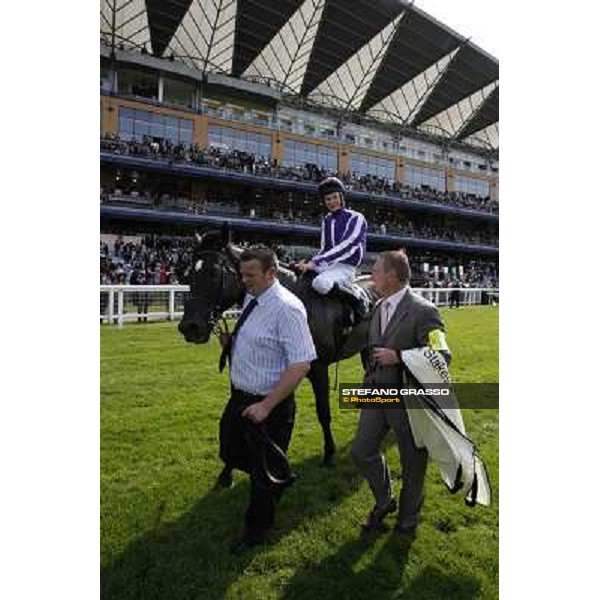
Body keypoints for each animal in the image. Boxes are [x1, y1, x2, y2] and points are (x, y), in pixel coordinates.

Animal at [177, 227, 376, 466]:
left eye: (214, 272)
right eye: (189, 275)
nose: (189, 327)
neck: (298, 300)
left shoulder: (318, 368)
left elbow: (323, 413)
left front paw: (329, 454)